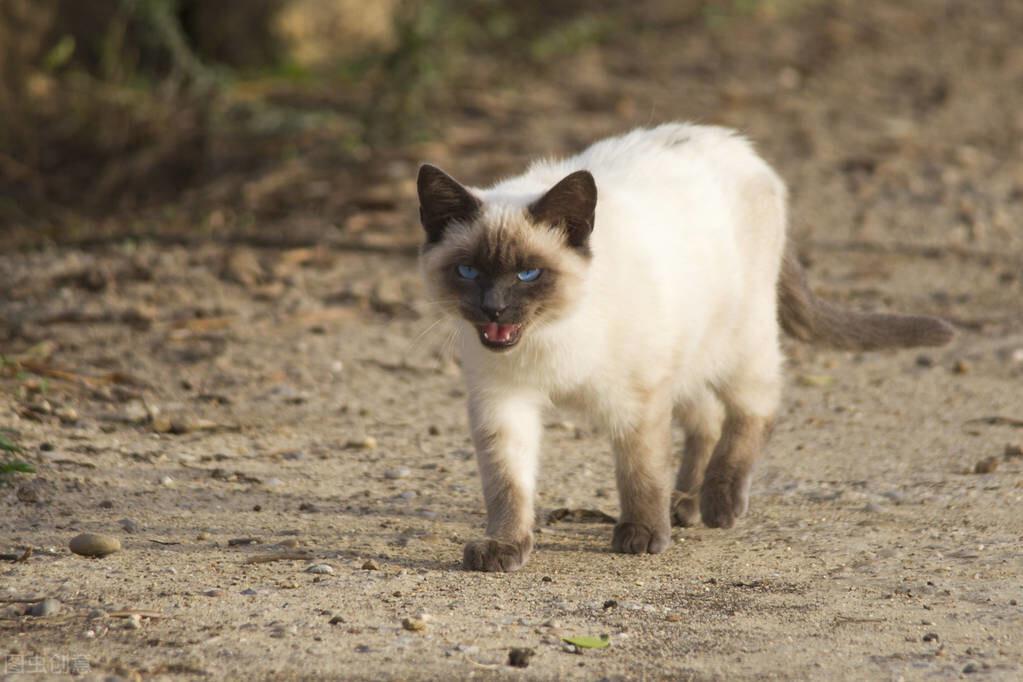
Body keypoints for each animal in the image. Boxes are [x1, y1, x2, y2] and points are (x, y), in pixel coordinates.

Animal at [413, 122, 949, 572]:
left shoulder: (636, 400)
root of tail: (741, 146)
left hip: (737, 344)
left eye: (528, 274)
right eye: (468, 271)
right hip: (689, 355)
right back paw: (685, 504)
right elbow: (508, 484)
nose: (494, 309)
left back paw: (717, 503)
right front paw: (503, 547)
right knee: (706, 420)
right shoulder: (504, 403)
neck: (550, 337)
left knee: (755, 411)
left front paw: (643, 535)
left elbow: (641, 471)